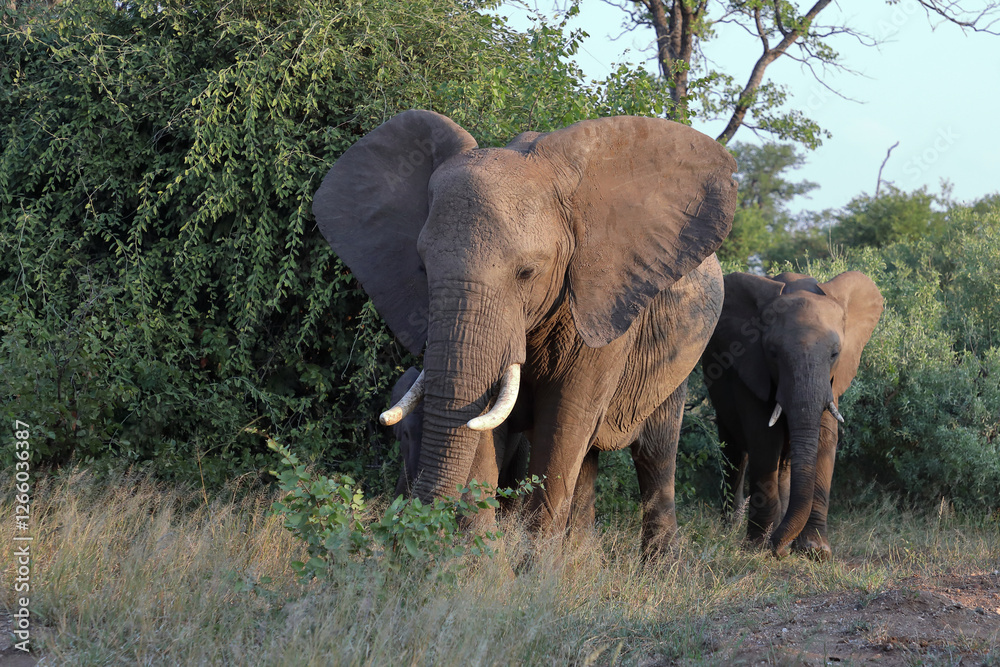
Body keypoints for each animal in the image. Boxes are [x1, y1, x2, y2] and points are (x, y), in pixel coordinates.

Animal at [313, 109, 737, 553]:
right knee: (589, 461)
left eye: (527, 272)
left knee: (654, 453)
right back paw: (576, 559)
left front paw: (531, 565)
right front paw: (481, 559)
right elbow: (488, 424)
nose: (409, 540)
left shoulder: (604, 303)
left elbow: (565, 421)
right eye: (423, 269)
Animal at [701, 271, 883, 560]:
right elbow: (764, 440)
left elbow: (825, 439)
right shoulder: (752, 367)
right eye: (773, 353)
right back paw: (733, 530)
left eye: (835, 353)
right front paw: (758, 547)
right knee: (734, 451)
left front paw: (815, 551)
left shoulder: (831, 383)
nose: (778, 549)